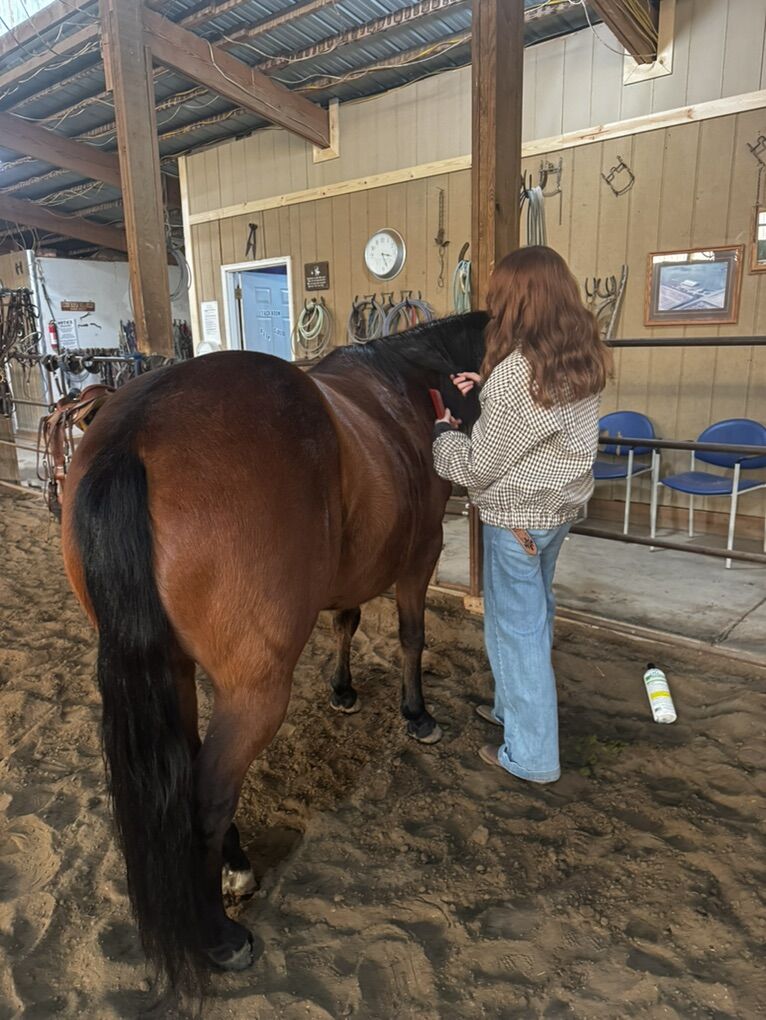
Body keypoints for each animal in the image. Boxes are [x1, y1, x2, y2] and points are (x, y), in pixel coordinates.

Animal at [60, 310, 488, 1001]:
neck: (408, 382)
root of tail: (135, 431)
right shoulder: (421, 555)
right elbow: (410, 636)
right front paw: (417, 715)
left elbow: (346, 622)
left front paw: (343, 691)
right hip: (256, 689)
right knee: (208, 793)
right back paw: (222, 936)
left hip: (176, 672)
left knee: (193, 767)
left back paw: (235, 870)